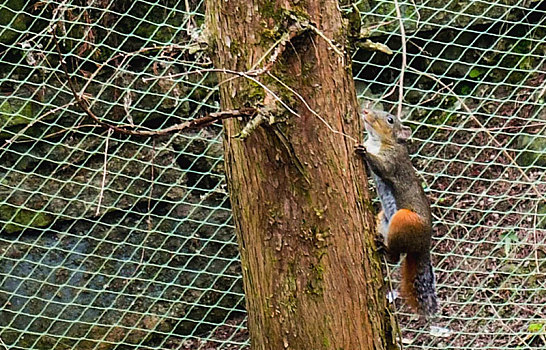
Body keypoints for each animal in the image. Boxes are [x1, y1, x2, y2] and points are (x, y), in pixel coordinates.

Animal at [352, 109, 438, 318]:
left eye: (390, 120)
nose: (365, 111)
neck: (376, 141)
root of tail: (423, 245)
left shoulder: (393, 161)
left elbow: (382, 167)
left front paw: (363, 152)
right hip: (383, 218)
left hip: (403, 221)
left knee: (396, 255)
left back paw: (383, 247)